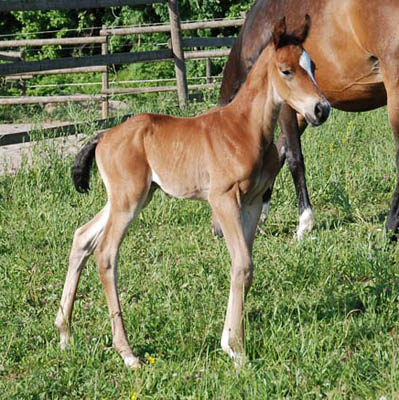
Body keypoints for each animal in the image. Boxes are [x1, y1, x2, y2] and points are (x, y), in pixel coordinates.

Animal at [56, 16, 332, 368]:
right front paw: (236, 349)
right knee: (105, 253)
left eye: (312, 66)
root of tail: (103, 136)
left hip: (129, 197)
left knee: (82, 237)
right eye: (286, 70)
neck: (245, 129)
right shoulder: (223, 199)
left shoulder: (252, 202)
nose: (321, 109)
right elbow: (243, 264)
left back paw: (65, 333)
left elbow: (243, 266)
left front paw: (230, 340)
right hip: (128, 200)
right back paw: (127, 353)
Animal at [220, 0, 399, 239]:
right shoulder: (304, 111)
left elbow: (294, 158)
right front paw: (261, 216)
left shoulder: (286, 106)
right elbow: (279, 153)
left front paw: (304, 224)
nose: (218, 230)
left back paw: (389, 229)